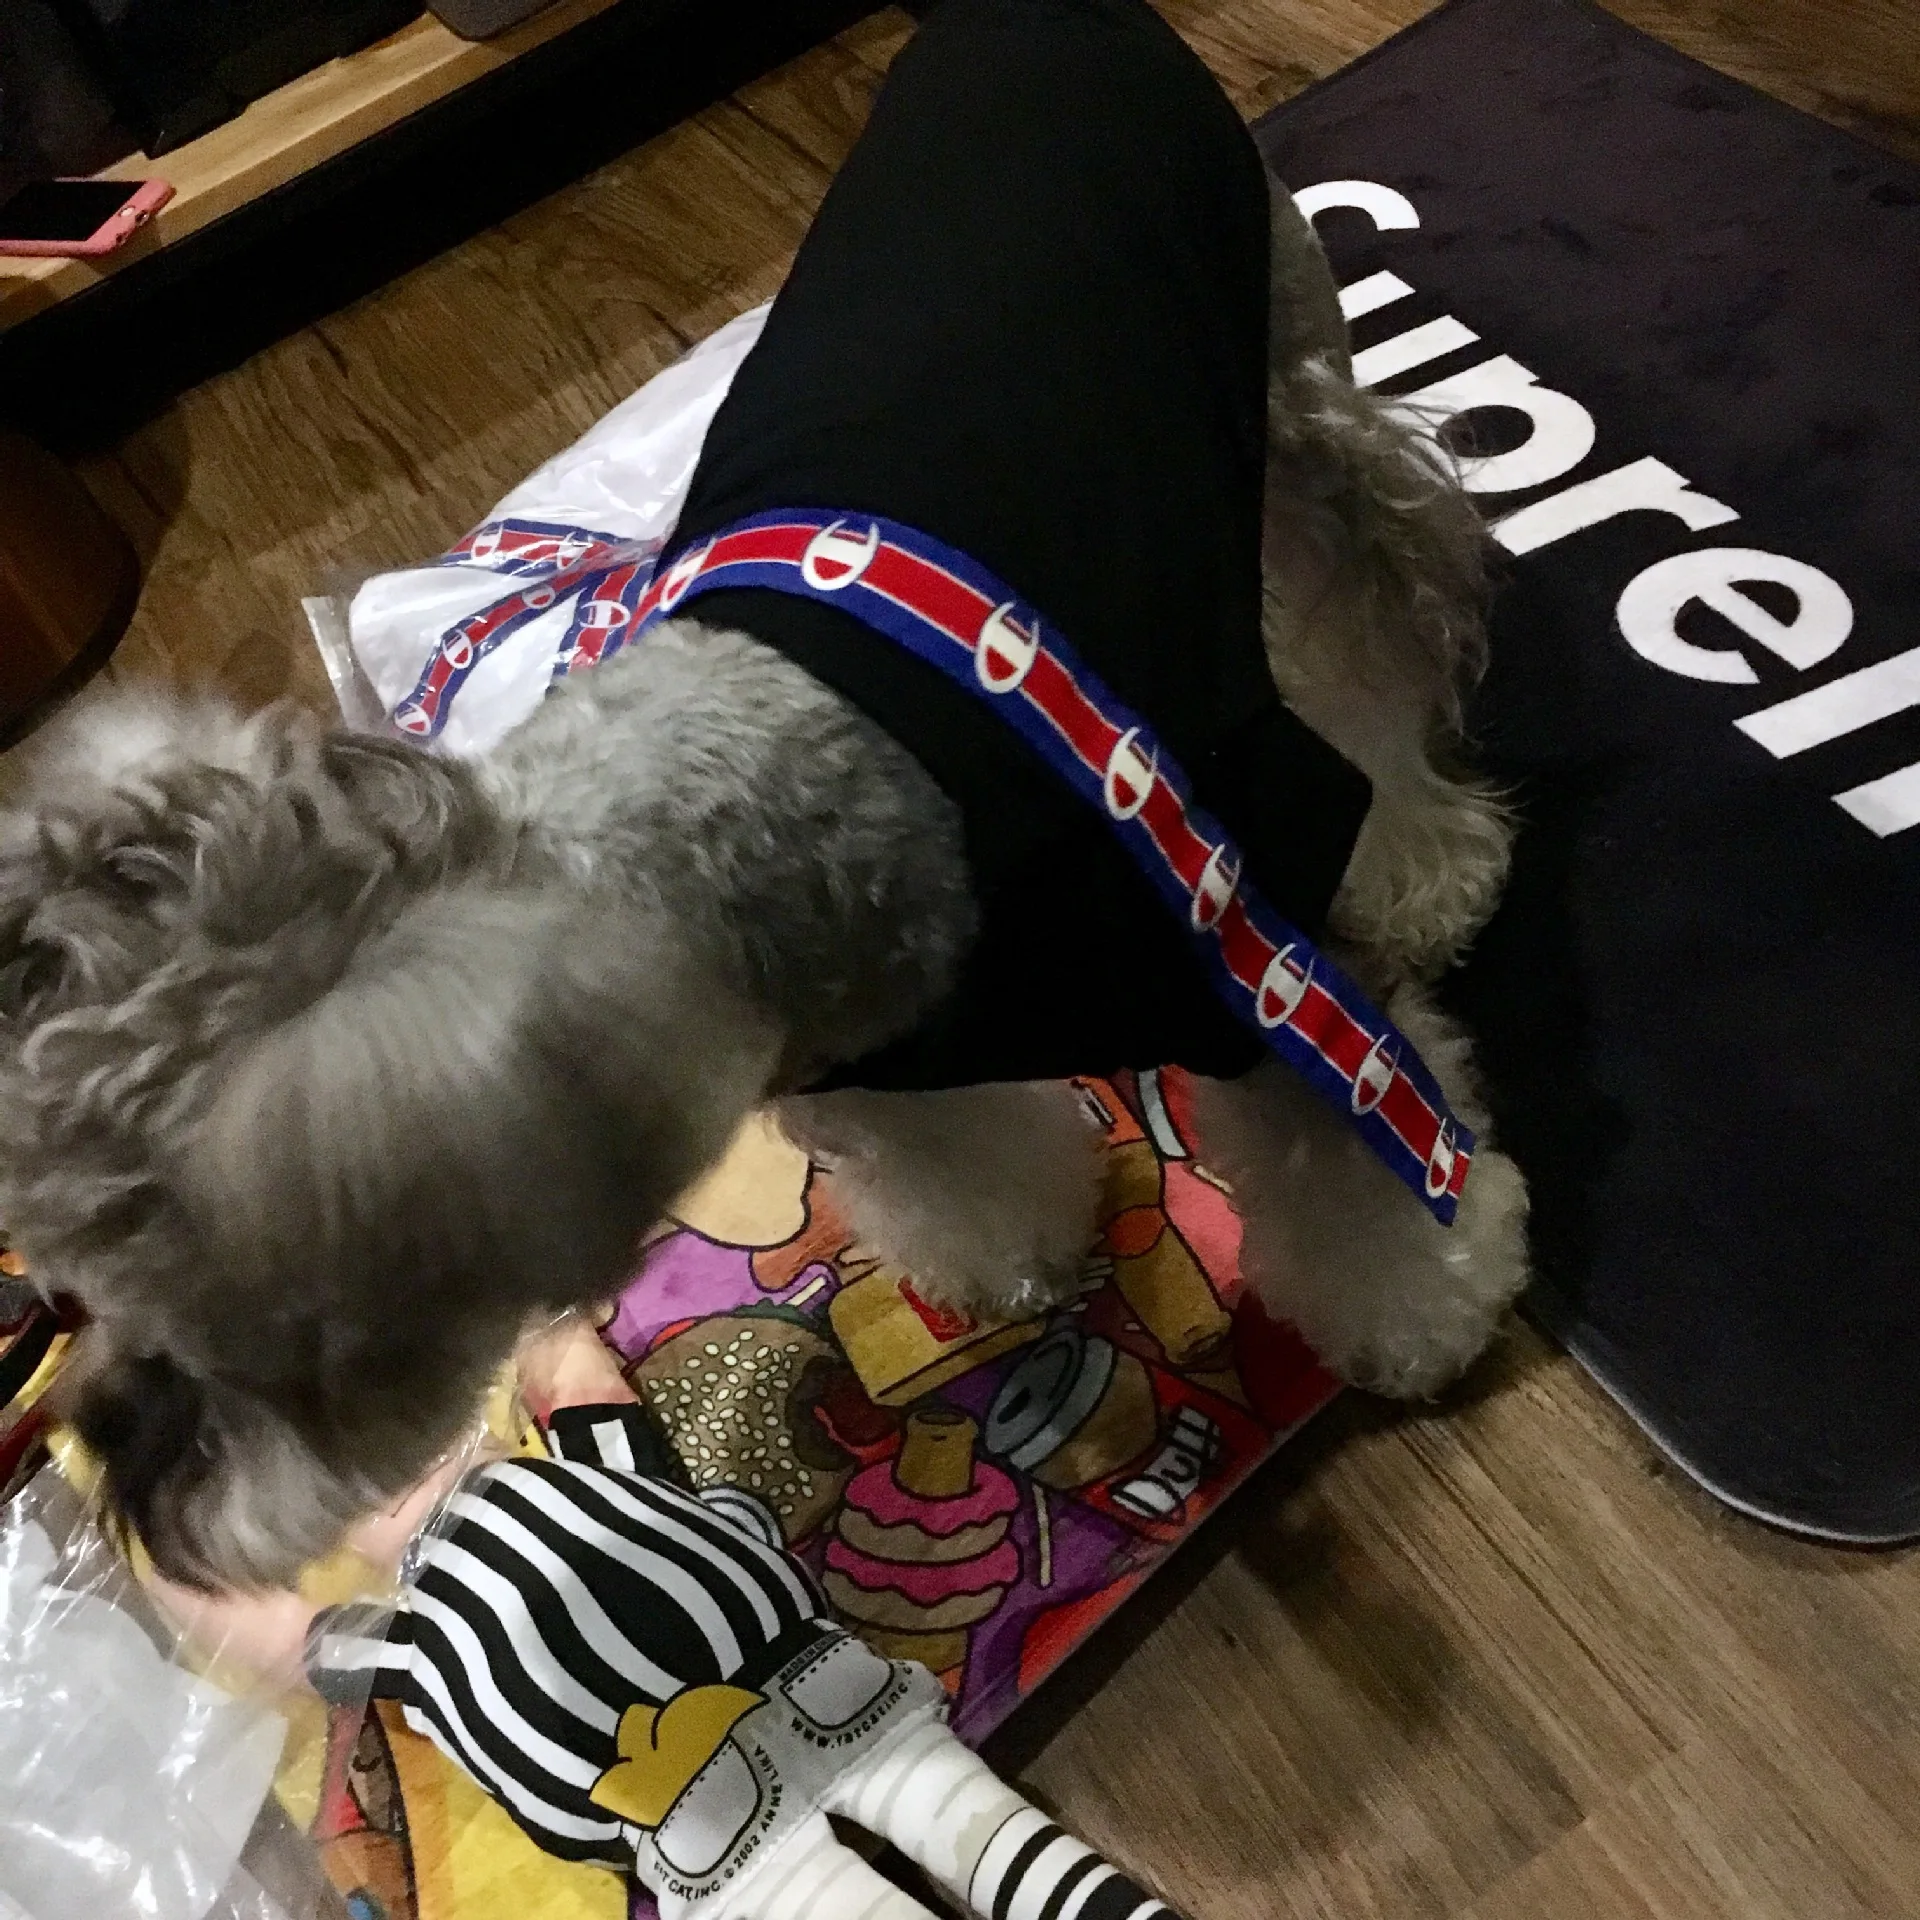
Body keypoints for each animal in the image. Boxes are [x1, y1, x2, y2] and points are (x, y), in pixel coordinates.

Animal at [0, 0, 1526, 1590]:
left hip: (1295, 400)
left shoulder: (1260, 979)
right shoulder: (884, 1075)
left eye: (263, 1344)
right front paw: (1010, 1254)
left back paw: (1425, 859)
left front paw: (1432, 1302)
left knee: (1362, 635)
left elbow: (1365, 1173)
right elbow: (962, 1168)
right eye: (66, 1291)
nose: (115, 1485)